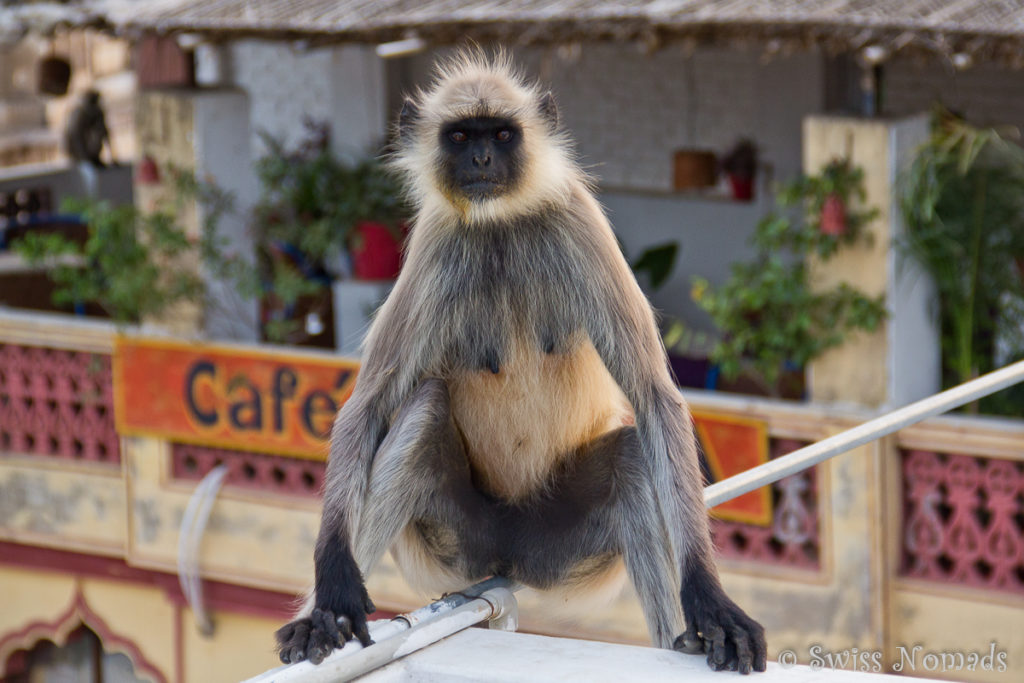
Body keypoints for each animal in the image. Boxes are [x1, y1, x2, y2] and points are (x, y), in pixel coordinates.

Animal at [274, 52, 770, 671]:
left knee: (634, 454)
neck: (501, 222)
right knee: (424, 408)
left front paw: (709, 598)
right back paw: (325, 621)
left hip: (561, 546)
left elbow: (655, 397)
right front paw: (331, 593)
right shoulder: (436, 241)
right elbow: (364, 409)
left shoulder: (579, 223)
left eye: (502, 135)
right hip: (453, 544)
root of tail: (510, 557)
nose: (483, 159)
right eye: (462, 136)